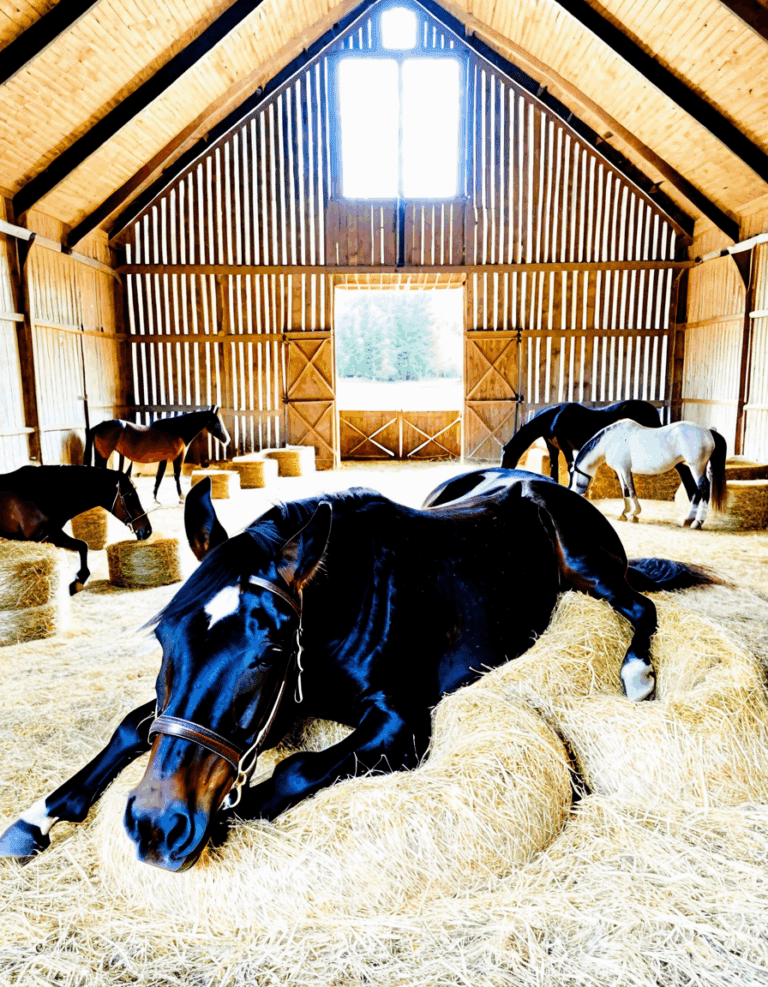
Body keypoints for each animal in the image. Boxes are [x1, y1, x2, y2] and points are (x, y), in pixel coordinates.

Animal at [0, 465, 152, 594]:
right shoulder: (43, 538)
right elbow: (82, 546)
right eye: (129, 495)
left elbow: (82, 546)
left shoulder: (52, 536)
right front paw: (77, 581)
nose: (147, 530)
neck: (39, 495)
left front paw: (78, 581)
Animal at [84, 406, 230, 503]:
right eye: (217, 422)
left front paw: (155, 497)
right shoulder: (178, 457)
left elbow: (159, 477)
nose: (227, 440)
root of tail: (99, 426)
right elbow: (176, 476)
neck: (177, 430)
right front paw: (181, 497)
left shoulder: (164, 459)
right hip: (104, 456)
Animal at [500, 400, 698, 500]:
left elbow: (570, 467)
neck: (553, 417)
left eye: (507, 455)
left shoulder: (566, 446)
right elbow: (553, 468)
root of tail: (654, 412)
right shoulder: (553, 447)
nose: (503, 469)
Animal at [569, 420, 727, 528]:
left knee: (704, 489)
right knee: (695, 492)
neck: (610, 441)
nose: (573, 493)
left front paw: (634, 514)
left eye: (574, 475)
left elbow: (631, 491)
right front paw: (625, 513)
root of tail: (708, 432)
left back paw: (698, 522)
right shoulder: (620, 470)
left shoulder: (625, 469)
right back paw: (688, 520)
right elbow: (625, 491)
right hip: (686, 468)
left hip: (696, 467)